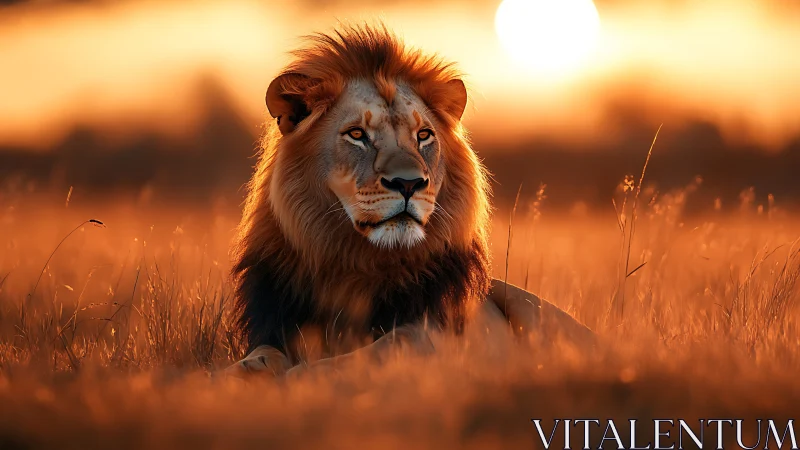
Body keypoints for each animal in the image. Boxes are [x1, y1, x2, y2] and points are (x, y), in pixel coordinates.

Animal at [224, 24, 594, 378]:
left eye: (424, 135)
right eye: (357, 134)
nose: (408, 183)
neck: (354, 264)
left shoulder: (434, 331)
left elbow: (378, 351)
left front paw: (299, 375)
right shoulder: (275, 326)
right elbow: (263, 353)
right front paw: (246, 371)